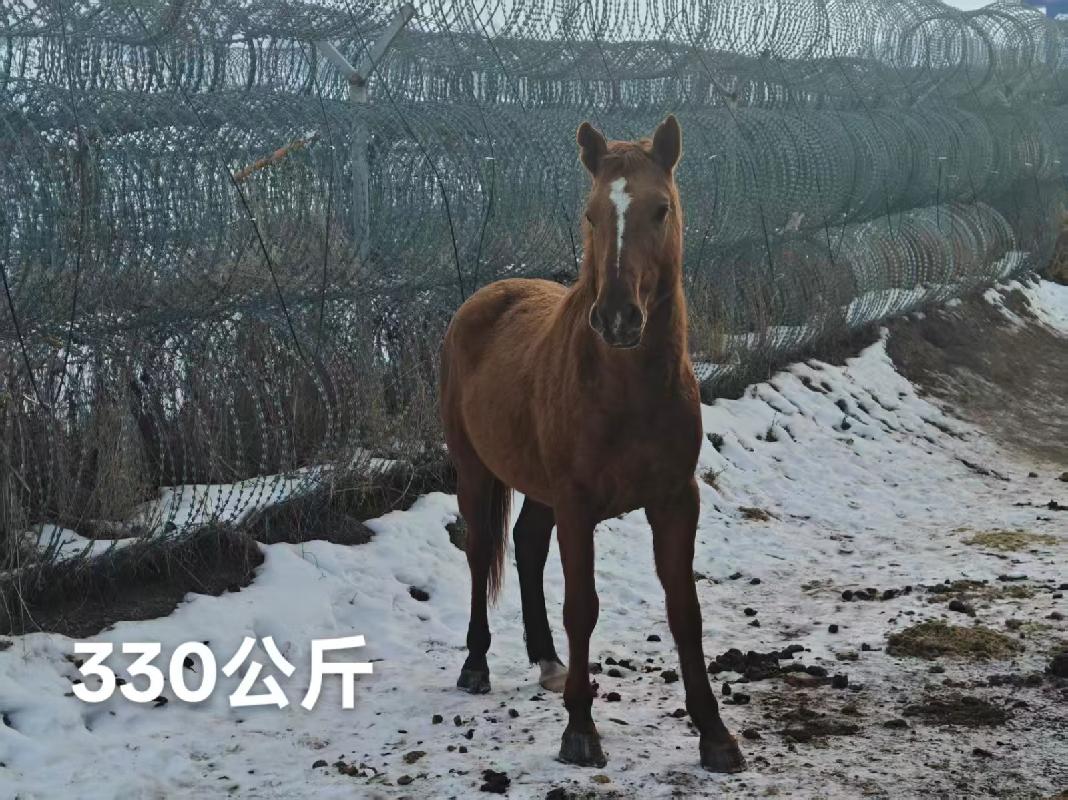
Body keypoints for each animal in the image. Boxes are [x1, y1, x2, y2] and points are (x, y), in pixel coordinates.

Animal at [439, 116, 746, 773]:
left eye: (661, 209)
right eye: (591, 214)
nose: (618, 318)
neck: (625, 391)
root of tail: (482, 300)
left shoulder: (675, 500)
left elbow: (685, 611)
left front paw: (715, 734)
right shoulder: (578, 505)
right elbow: (582, 606)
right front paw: (580, 730)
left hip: (539, 487)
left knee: (527, 544)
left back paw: (548, 660)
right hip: (474, 470)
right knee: (481, 552)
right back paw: (475, 665)